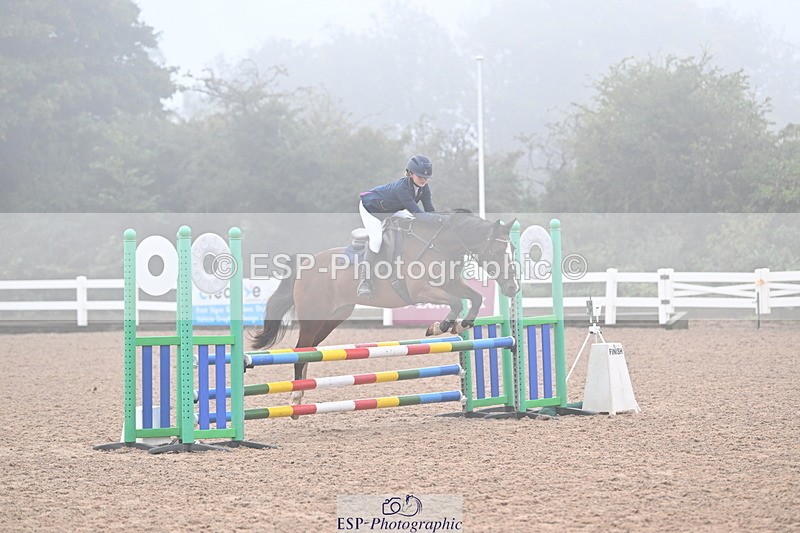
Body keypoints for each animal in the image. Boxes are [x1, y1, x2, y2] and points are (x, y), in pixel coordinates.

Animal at [251, 211, 520, 413]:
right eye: (498, 252)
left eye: (512, 250)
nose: (512, 288)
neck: (439, 246)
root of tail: (304, 265)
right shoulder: (422, 291)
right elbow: (455, 303)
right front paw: (440, 326)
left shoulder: (450, 283)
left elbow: (474, 297)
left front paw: (461, 324)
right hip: (313, 318)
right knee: (300, 350)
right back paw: (296, 397)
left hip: (333, 317)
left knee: (308, 351)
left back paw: (303, 390)